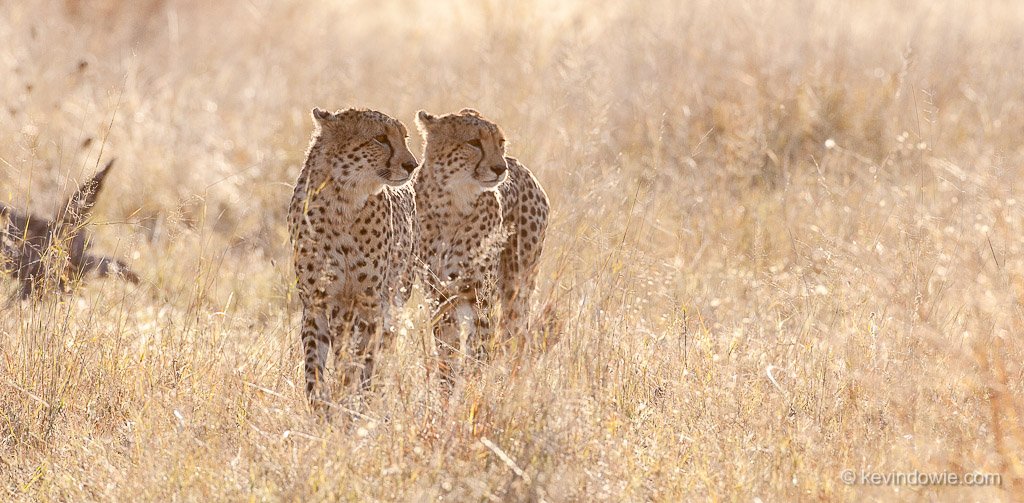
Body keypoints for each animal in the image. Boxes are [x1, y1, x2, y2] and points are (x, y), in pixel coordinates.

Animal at [286, 108, 417, 403]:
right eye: (380, 138)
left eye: (404, 137)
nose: (412, 165)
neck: (341, 201)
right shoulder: (317, 300)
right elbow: (315, 360)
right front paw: (321, 404)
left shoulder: (370, 300)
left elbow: (360, 358)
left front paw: (353, 400)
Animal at [411, 109, 548, 362]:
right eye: (474, 142)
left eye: (500, 142)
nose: (500, 168)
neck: (451, 204)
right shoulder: (440, 295)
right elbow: (448, 347)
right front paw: (449, 372)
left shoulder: (481, 293)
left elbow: (481, 344)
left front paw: (476, 371)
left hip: (517, 284)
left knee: (516, 331)